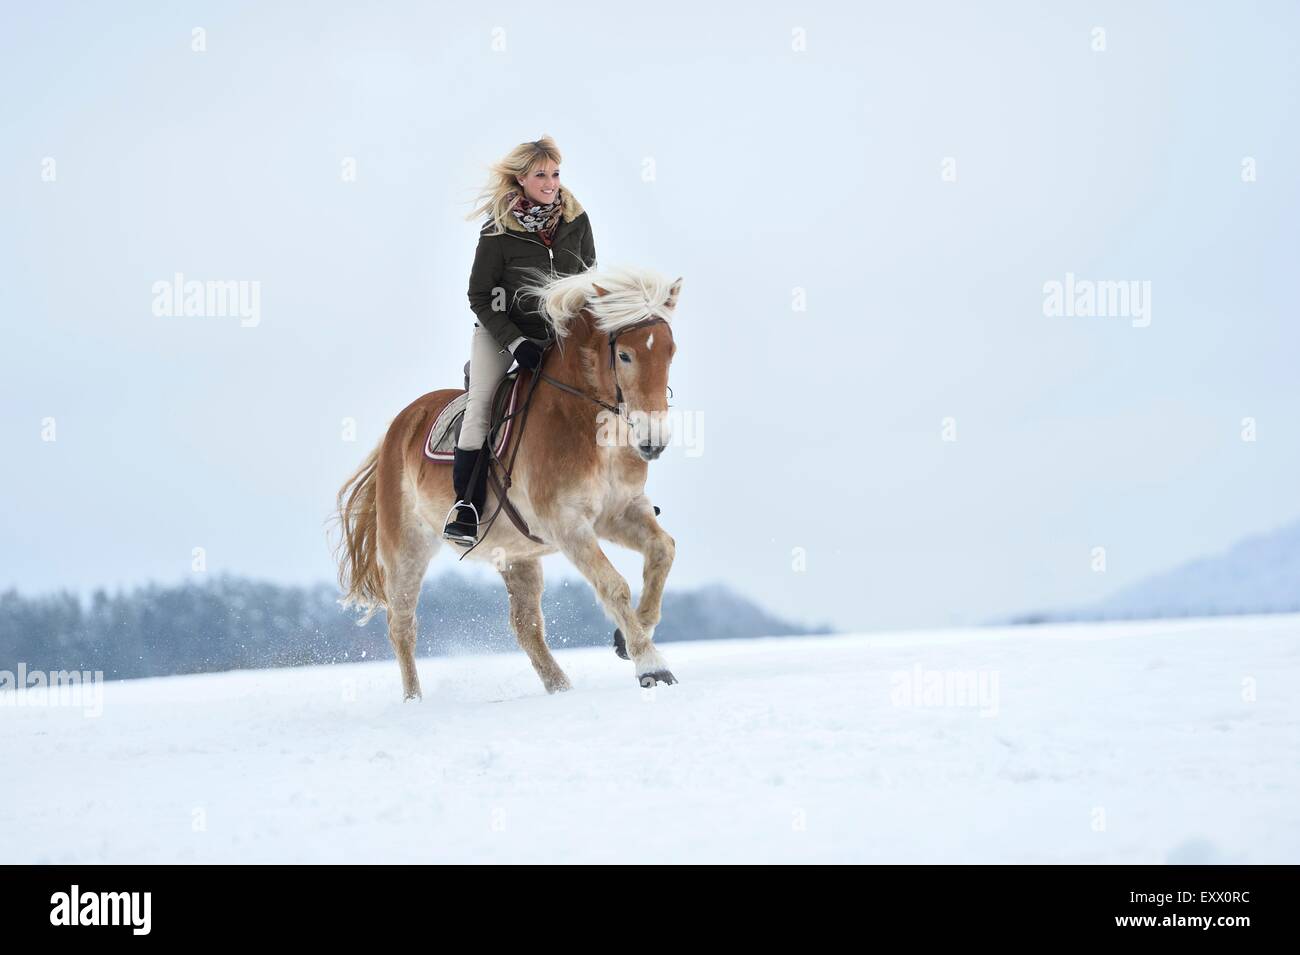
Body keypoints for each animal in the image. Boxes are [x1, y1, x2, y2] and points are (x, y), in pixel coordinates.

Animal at [332, 265, 681, 696]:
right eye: (625, 354)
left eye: (670, 351)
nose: (654, 440)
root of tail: (400, 425)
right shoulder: (568, 524)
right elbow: (614, 585)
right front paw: (652, 666)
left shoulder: (620, 512)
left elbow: (663, 551)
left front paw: (626, 640)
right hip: (406, 548)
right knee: (402, 626)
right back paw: (415, 700)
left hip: (517, 555)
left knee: (525, 626)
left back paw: (561, 689)